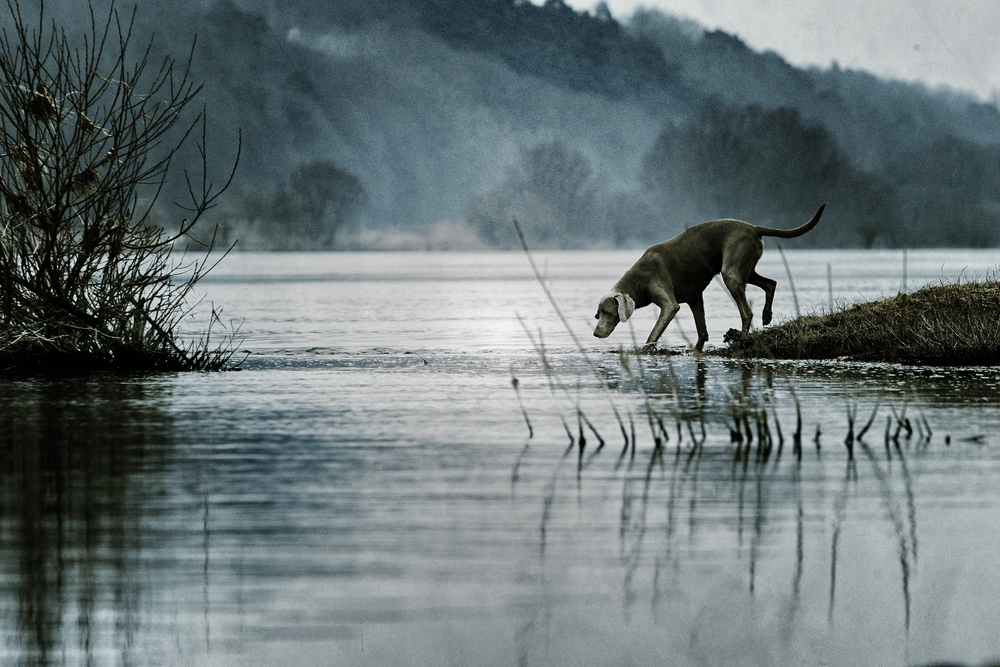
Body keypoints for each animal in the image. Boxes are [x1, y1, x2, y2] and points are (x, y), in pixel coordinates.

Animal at [596, 205, 824, 352]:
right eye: (598, 314)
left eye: (606, 312)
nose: (595, 335)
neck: (638, 280)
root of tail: (753, 227)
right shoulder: (695, 298)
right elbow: (702, 331)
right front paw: (695, 350)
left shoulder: (669, 304)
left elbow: (654, 332)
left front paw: (644, 350)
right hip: (745, 269)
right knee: (770, 283)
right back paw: (766, 315)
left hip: (731, 272)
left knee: (747, 312)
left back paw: (742, 339)